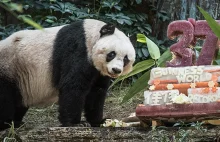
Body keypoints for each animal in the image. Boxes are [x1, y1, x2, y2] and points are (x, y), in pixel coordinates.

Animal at [0, 18, 136, 130]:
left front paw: (100, 121)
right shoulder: (77, 49)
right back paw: (7, 124)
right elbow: (73, 86)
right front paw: (75, 124)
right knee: (6, 98)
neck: (91, 36)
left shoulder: (98, 71)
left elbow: (97, 92)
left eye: (126, 59)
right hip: (9, 66)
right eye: (112, 54)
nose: (116, 70)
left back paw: (16, 123)